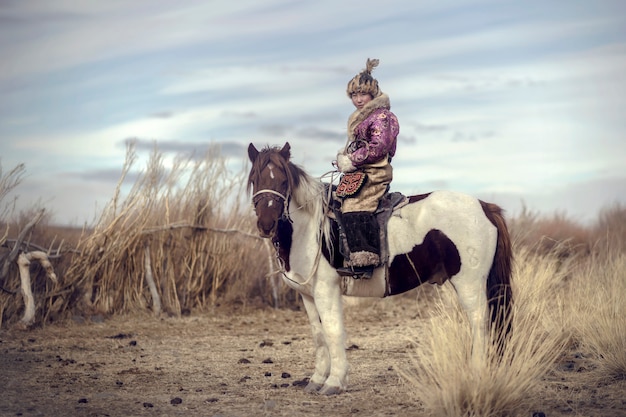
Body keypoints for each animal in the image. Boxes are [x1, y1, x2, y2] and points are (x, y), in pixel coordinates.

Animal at [246, 142, 510, 394]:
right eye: (255, 179)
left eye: (283, 180)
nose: (267, 224)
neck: (310, 229)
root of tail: (485, 207)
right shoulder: (308, 294)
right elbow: (319, 335)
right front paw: (317, 380)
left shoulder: (326, 289)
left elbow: (333, 331)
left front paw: (334, 382)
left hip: (470, 283)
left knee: (480, 322)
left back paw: (476, 372)